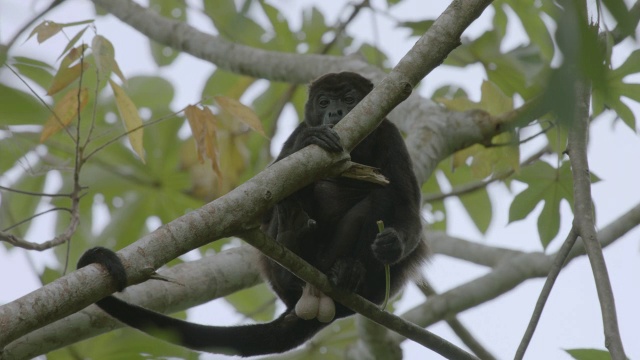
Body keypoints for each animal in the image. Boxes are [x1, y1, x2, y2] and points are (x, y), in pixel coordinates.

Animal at [77, 71, 428, 358]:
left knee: (381, 198)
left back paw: (348, 272)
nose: (335, 113)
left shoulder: (390, 136)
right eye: (324, 101)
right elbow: (265, 196)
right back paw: (291, 236)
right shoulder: (299, 129)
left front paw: (391, 244)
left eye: (349, 99)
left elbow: (407, 207)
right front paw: (310, 141)